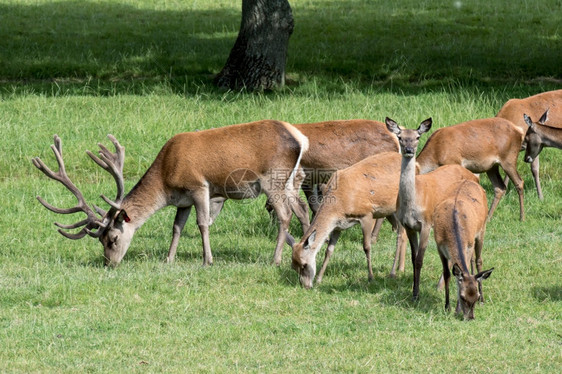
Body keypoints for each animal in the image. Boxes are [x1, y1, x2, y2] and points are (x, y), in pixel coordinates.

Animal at [32, 120, 310, 266]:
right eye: (100, 241)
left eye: (112, 238)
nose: (109, 263)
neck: (165, 179)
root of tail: (299, 137)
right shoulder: (182, 200)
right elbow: (176, 227)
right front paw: (169, 259)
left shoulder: (199, 186)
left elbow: (202, 224)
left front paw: (207, 260)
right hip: (290, 180)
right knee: (303, 210)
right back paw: (302, 250)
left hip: (272, 180)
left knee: (285, 215)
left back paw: (275, 259)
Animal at [288, 152, 406, 290]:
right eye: (293, 266)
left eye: (304, 264)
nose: (305, 286)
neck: (340, 204)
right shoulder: (338, 226)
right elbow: (329, 250)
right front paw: (319, 279)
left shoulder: (367, 214)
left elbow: (366, 246)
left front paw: (371, 277)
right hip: (389, 211)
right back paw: (399, 268)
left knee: (400, 235)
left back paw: (393, 272)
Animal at [382, 117, 480, 300]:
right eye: (400, 137)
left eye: (417, 137)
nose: (409, 150)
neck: (413, 203)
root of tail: (474, 176)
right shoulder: (408, 226)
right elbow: (413, 259)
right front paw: (414, 290)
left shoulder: (426, 223)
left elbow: (420, 259)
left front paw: (417, 294)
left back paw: (441, 286)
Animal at [430, 180, 492, 320]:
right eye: (463, 297)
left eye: (476, 297)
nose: (470, 318)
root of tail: (470, 180)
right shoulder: (439, 247)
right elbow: (447, 274)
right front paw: (447, 307)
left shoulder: (468, 246)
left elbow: (465, 269)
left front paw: (456, 310)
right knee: (474, 260)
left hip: (482, 229)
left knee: (479, 260)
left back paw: (483, 300)